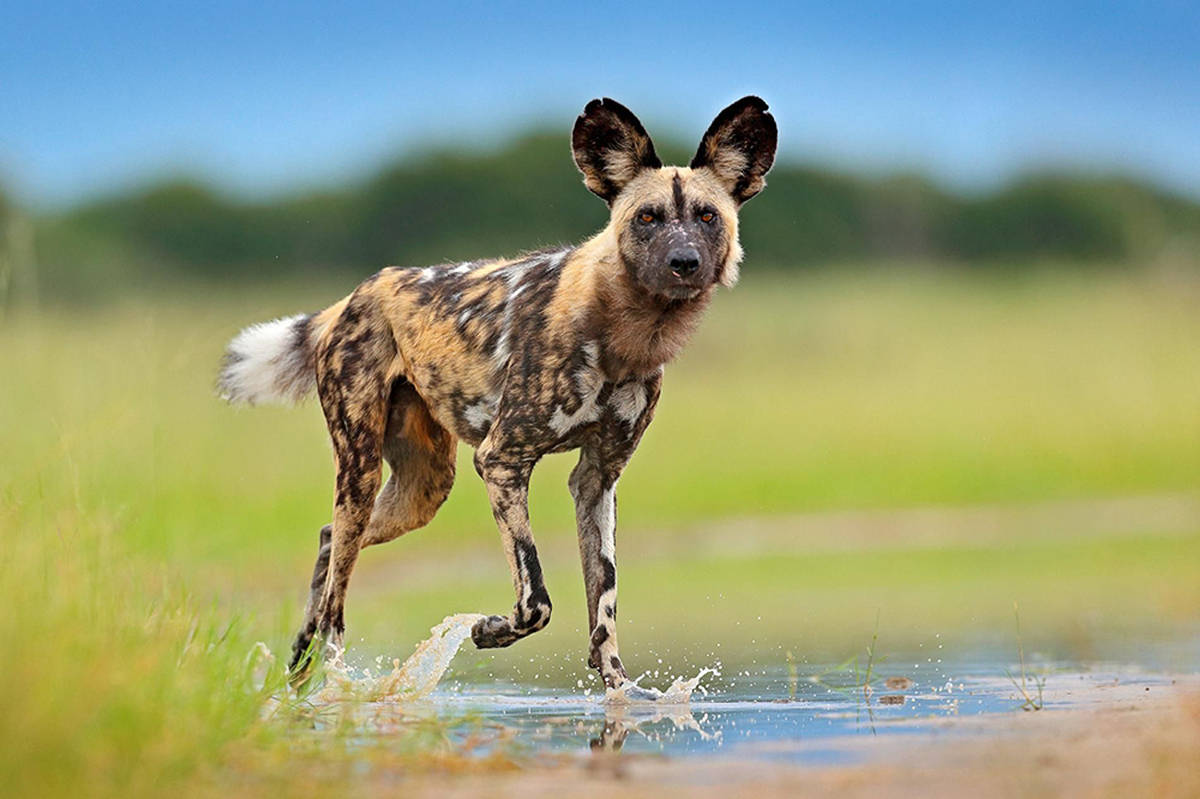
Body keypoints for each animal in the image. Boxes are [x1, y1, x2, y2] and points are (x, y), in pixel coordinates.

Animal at [216, 96, 777, 686]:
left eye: (707, 216)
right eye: (648, 217)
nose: (684, 262)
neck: (625, 333)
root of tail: (353, 297)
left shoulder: (597, 479)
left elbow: (603, 609)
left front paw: (621, 692)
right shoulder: (502, 461)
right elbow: (537, 600)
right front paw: (488, 631)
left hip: (422, 490)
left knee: (328, 544)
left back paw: (299, 670)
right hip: (362, 471)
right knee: (336, 600)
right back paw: (335, 683)